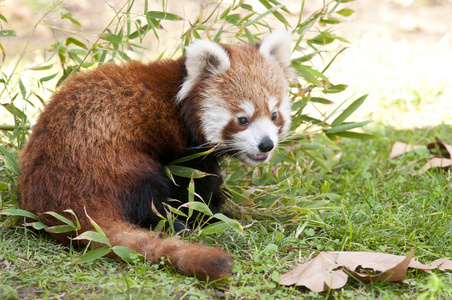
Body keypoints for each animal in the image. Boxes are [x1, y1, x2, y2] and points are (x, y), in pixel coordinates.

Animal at [18, 31, 294, 282]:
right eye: (242, 120)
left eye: (274, 115)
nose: (266, 144)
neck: (182, 99)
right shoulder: (185, 153)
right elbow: (194, 186)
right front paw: (214, 210)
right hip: (115, 162)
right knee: (148, 195)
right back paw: (179, 224)